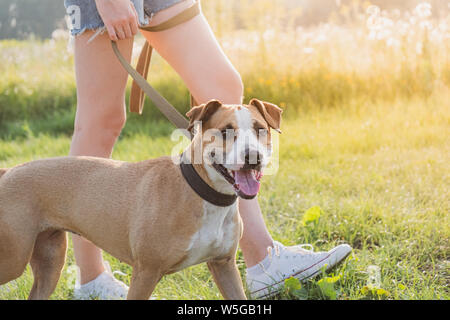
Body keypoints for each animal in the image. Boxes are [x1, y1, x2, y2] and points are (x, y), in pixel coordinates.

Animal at [0, 98, 282, 300]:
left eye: (261, 130)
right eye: (225, 132)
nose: (253, 156)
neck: (201, 192)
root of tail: (9, 171)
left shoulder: (224, 266)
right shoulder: (145, 273)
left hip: (50, 264)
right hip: (13, 260)